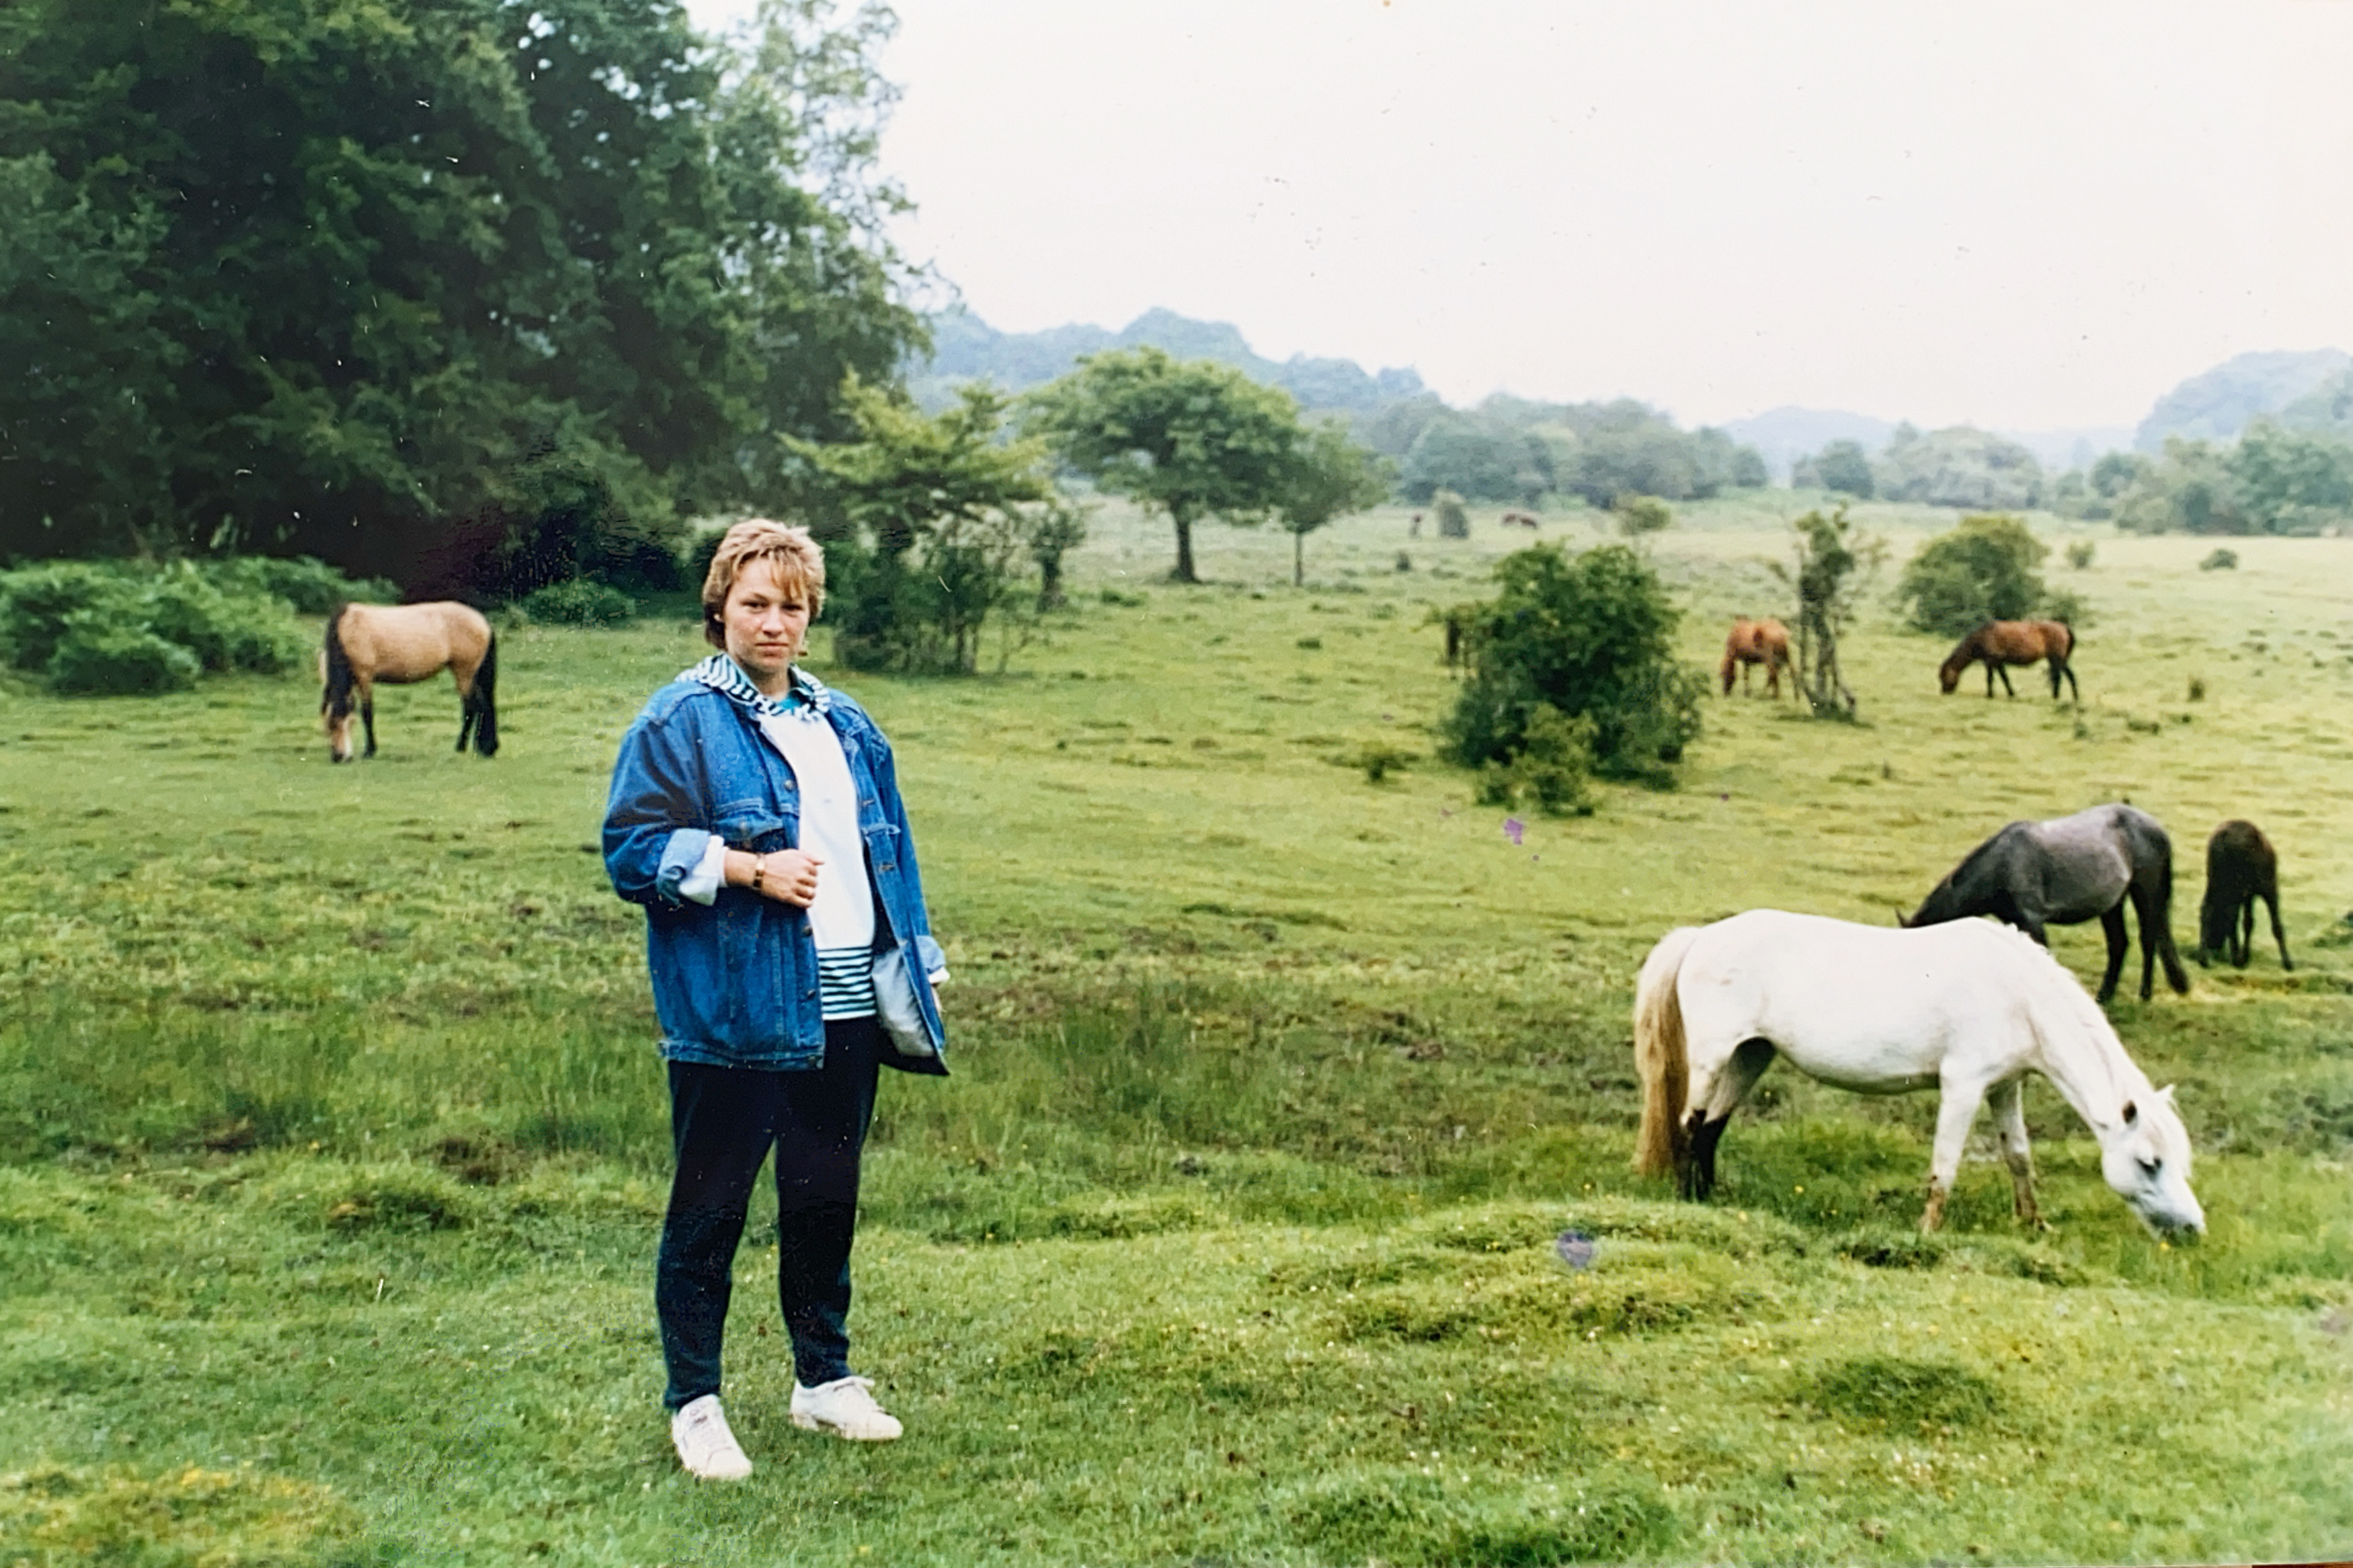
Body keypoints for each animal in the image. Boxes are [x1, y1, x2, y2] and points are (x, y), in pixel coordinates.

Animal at [321, 601, 498, 763]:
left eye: (347, 723)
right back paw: (484, 748)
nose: (339, 757)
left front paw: (369, 751)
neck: (348, 628)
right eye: (328, 726)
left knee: (472, 707)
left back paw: (461, 746)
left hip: (464, 674)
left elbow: (367, 713)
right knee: (483, 707)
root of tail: (483, 622)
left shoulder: (364, 677)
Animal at [1633, 909, 2205, 1237]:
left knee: (1711, 1129)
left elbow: (2019, 1156)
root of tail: (1702, 937)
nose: (2192, 1228)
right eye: (2149, 1162)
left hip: (1751, 1055)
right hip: (1714, 1057)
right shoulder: (1963, 1087)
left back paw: (1712, 1199)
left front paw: (2033, 1223)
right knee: (1689, 1125)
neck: (2018, 993)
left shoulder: (2005, 1087)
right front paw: (1928, 1231)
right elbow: (1944, 1166)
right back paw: (1687, 1199)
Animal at [1902, 803, 2189, 1005]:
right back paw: (2104, 998)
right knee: (2119, 944)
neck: (2002, 865)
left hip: (2145, 892)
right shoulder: (2013, 921)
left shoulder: (2033, 920)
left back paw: (2145, 995)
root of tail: (2156, 828)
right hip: (2112, 904)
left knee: (2148, 940)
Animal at [1938, 619, 2078, 700]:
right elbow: (2004, 678)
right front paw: (2011, 694)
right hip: (2059, 660)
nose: (1944, 692)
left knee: (2058, 676)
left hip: (2056, 659)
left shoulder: (1991, 661)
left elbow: (1991, 679)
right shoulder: (1998, 662)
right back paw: (2074, 697)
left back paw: (2056, 696)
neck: (1982, 637)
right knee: (2069, 676)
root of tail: (2064, 627)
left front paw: (1990, 695)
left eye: (1943, 676)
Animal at [2196, 820, 2293, 972]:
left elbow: (2248, 922)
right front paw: (2287, 962)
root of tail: (2223, 837)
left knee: (2208, 909)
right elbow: (2274, 924)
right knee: (2231, 915)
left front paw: (2244, 956)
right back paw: (2236, 957)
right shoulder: (2268, 889)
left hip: (2214, 879)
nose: (2213, 945)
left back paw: (2204, 958)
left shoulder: (2249, 895)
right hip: (2238, 886)